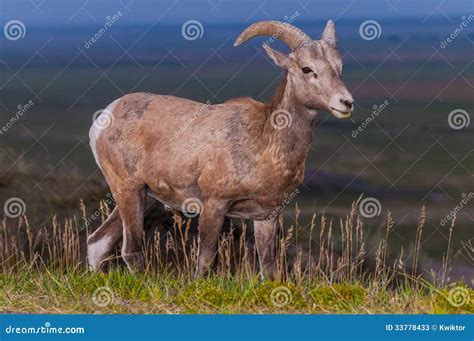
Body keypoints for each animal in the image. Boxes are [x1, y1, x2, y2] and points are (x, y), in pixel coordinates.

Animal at [89, 19, 354, 276]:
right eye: (306, 69)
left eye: (340, 67)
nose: (346, 103)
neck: (265, 143)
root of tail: (105, 117)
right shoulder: (214, 206)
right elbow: (205, 262)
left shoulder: (267, 216)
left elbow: (269, 269)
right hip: (129, 190)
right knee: (130, 251)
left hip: (145, 198)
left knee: (97, 243)